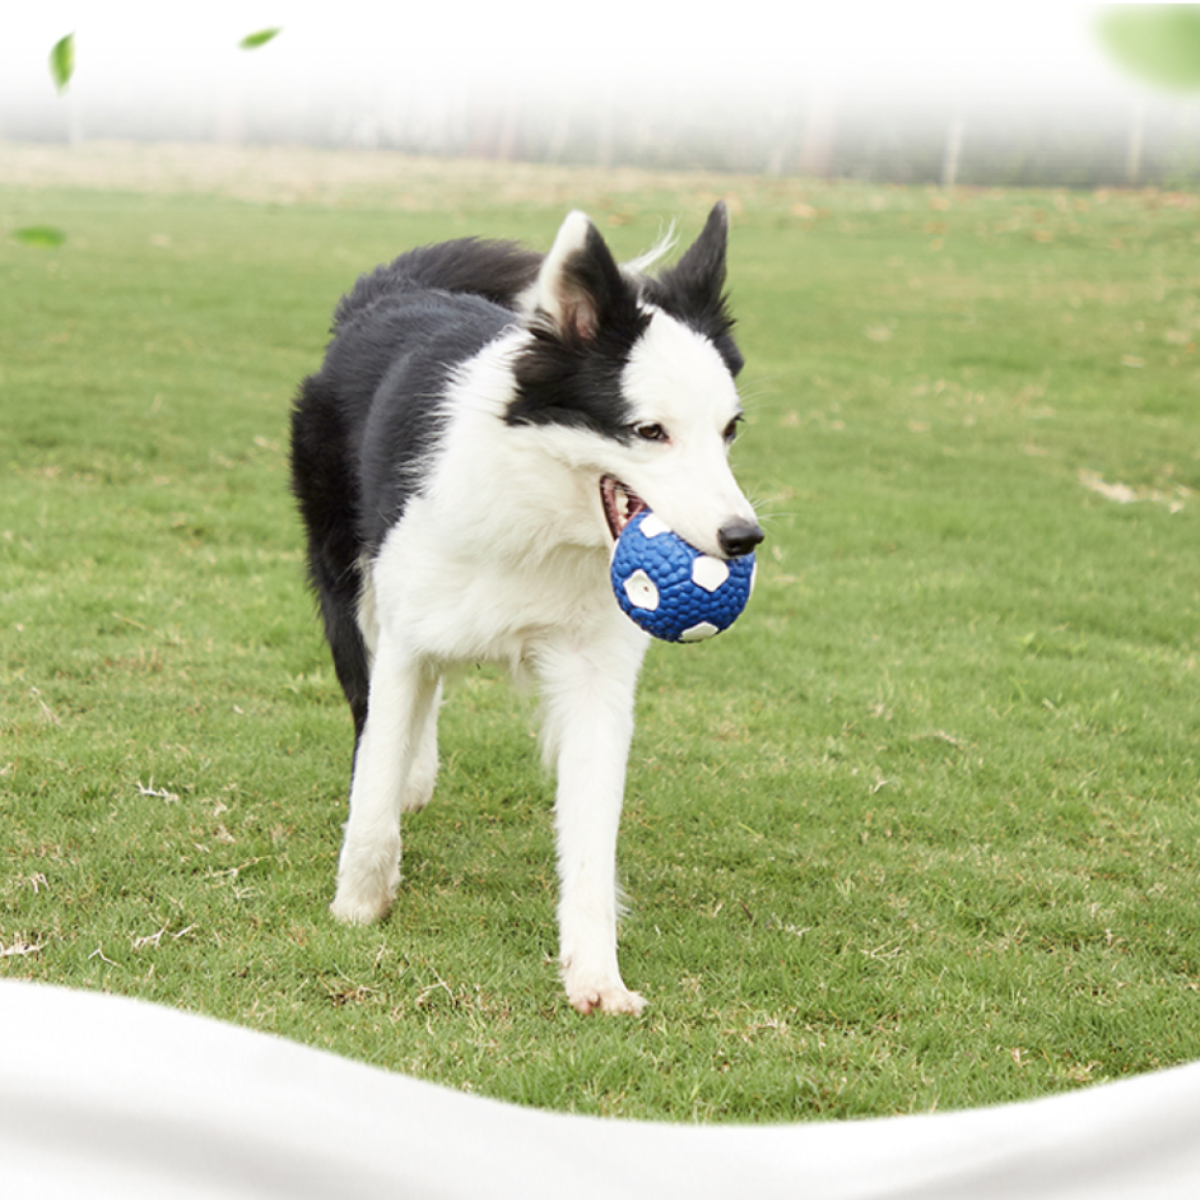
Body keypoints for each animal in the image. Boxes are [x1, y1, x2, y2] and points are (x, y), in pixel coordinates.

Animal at [290, 204, 758, 1012]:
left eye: (728, 430)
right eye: (649, 431)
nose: (742, 536)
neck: (538, 517)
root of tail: (392, 291)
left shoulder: (597, 677)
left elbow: (592, 836)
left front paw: (596, 976)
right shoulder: (404, 635)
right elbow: (377, 764)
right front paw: (359, 900)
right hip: (348, 580)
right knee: (372, 703)